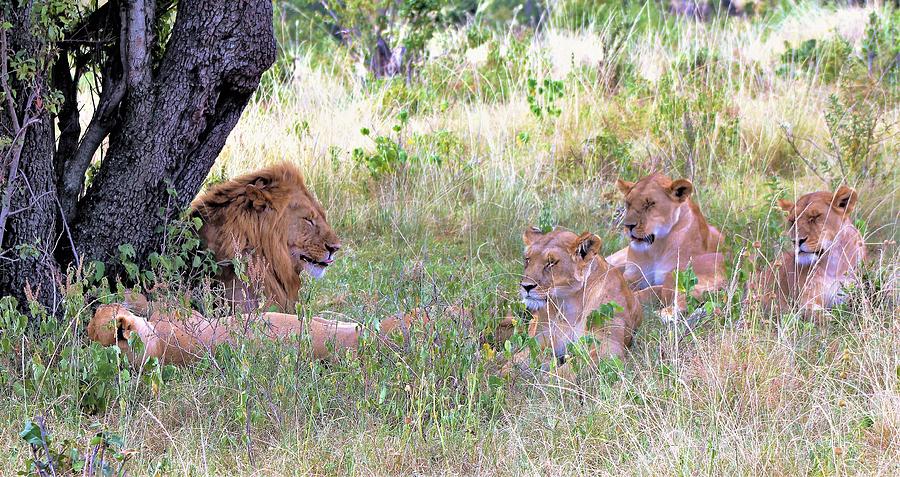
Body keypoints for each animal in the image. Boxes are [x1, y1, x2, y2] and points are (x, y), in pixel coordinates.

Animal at [502, 227, 644, 376]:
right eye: (528, 260)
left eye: (551, 263)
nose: (526, 286)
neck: (568, 304)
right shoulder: (540, 341)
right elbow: (514, 362)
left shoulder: (609, 347)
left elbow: (569, 370)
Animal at [764, 187, 868, 316]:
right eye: (792, 221)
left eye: (815, 216)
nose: (796, 240)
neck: (834, 264)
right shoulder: (806, 303)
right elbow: (826, 317)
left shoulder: (852, 296)